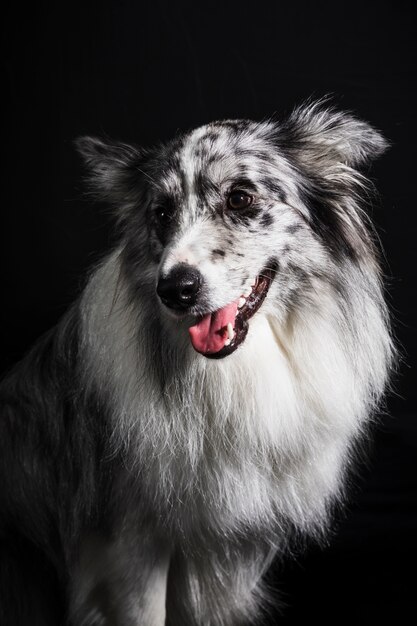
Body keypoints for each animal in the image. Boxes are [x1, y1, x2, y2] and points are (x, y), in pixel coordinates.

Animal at [0, 100, 392, 620]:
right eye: (161, 213)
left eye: (240, 199)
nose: (175, 290)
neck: (228, 371)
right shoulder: (126, 548)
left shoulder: (224, 553)